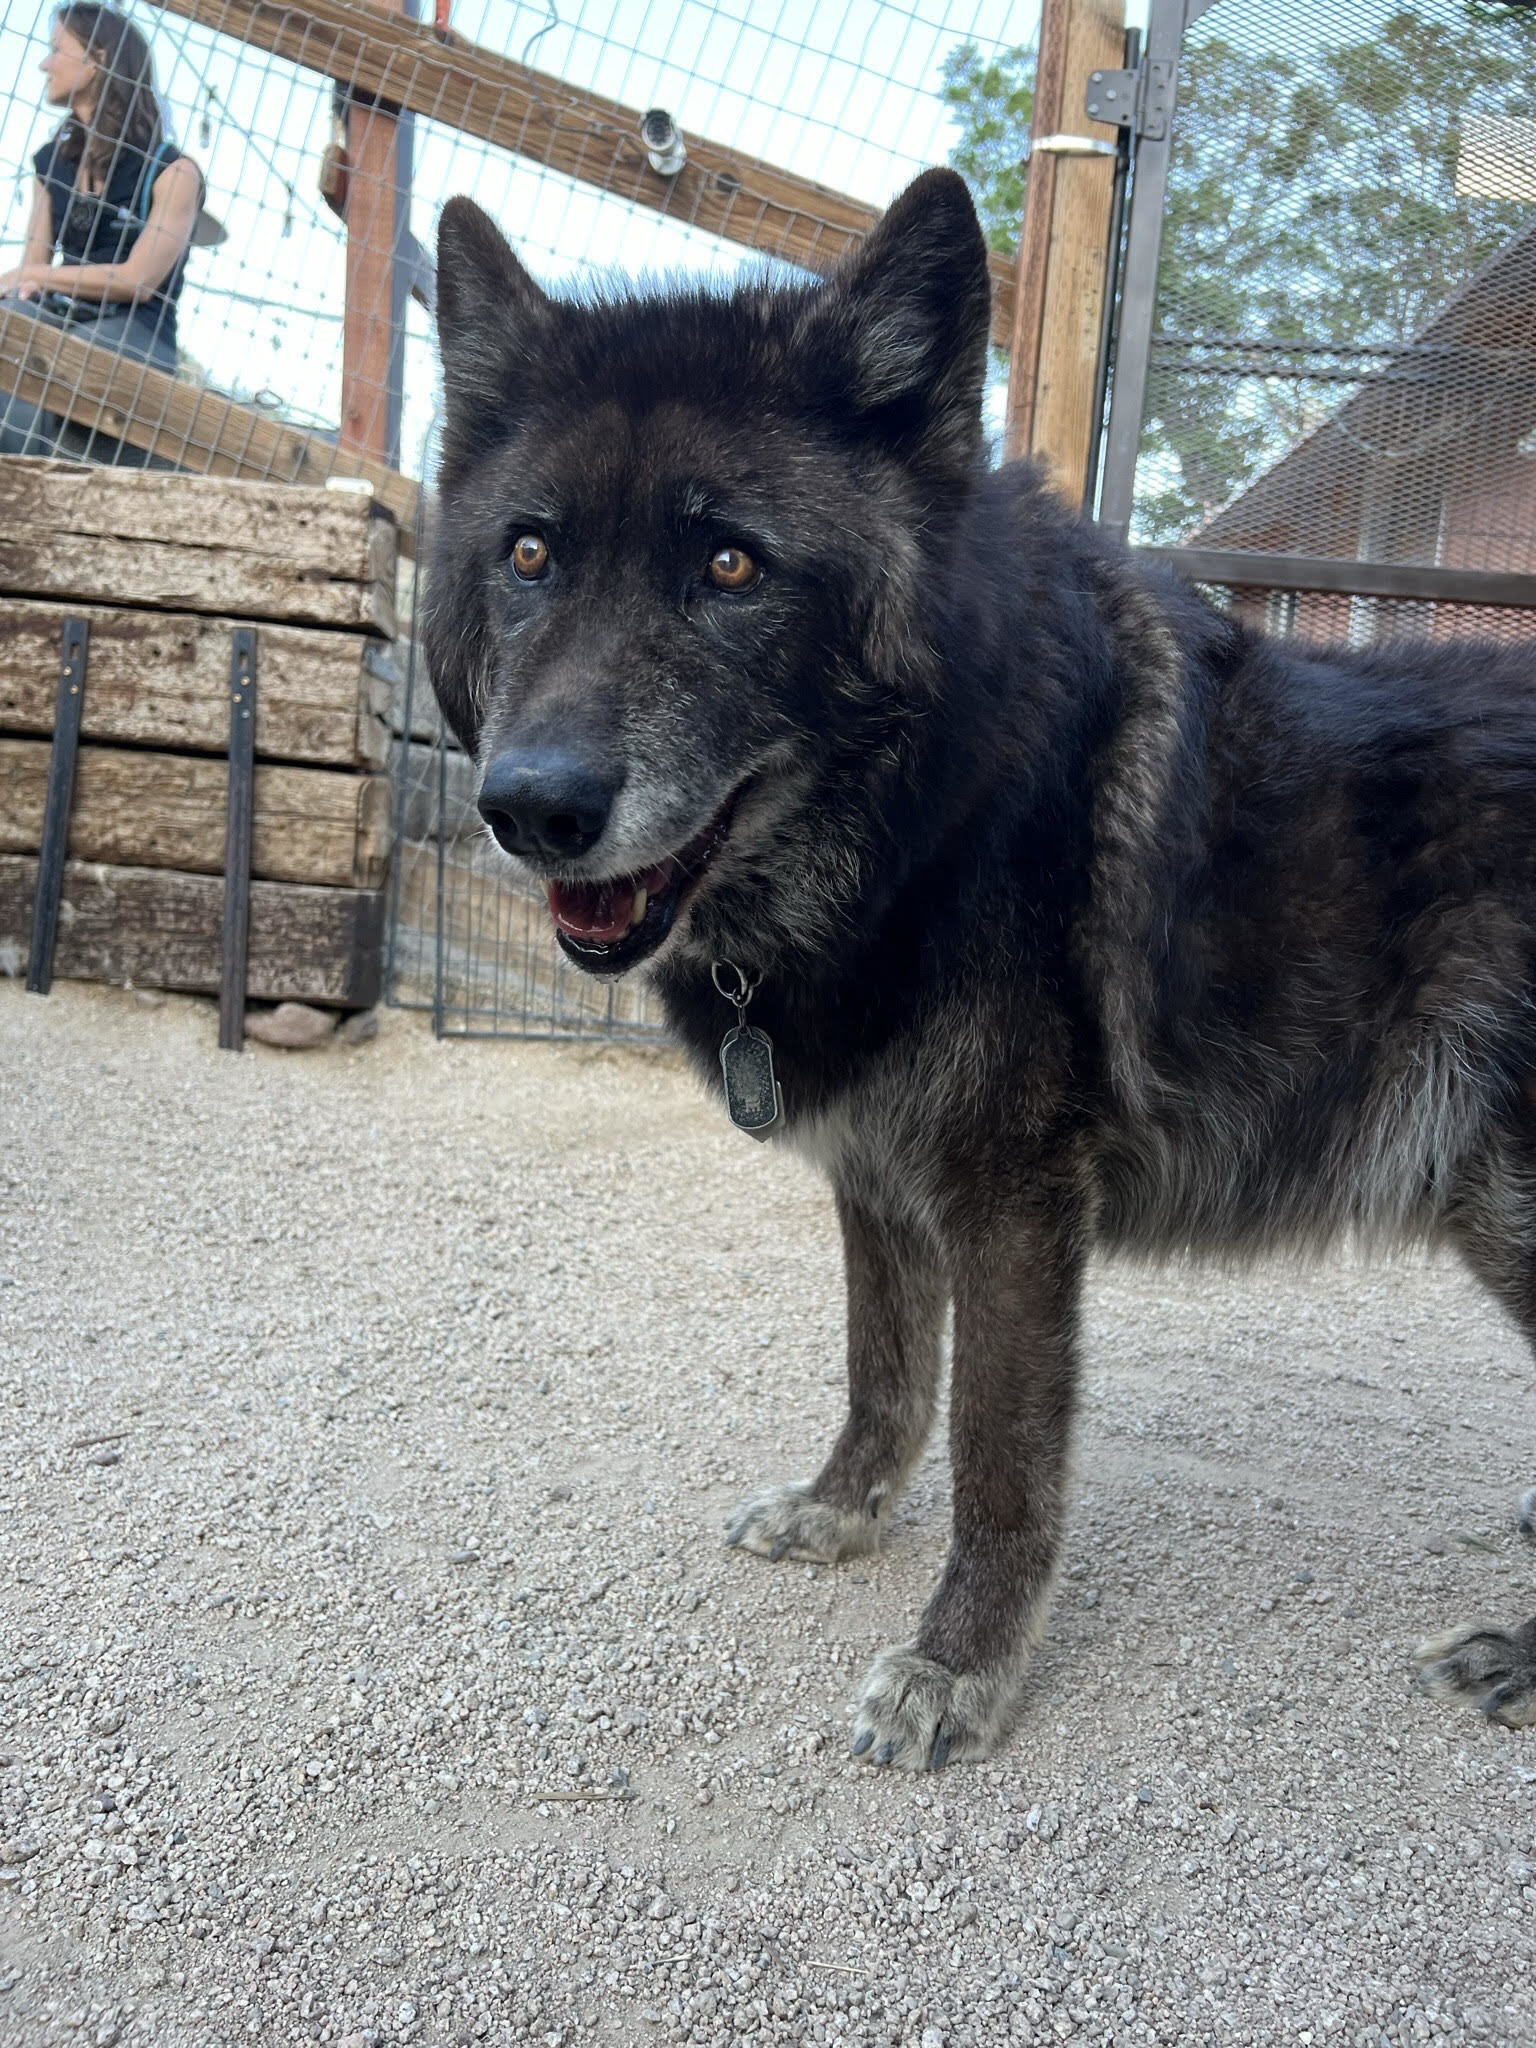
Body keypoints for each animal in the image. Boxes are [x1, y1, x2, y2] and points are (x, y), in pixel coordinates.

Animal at [428, 172, 1536, 1761]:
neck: (940, 811)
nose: (532, 808)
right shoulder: (879, 1177)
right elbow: (884, 1373)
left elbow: (999, 1458)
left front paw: (959, 1667)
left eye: (729, 563)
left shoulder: (1011, 1201)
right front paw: (840, 1515)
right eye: (528, 555)